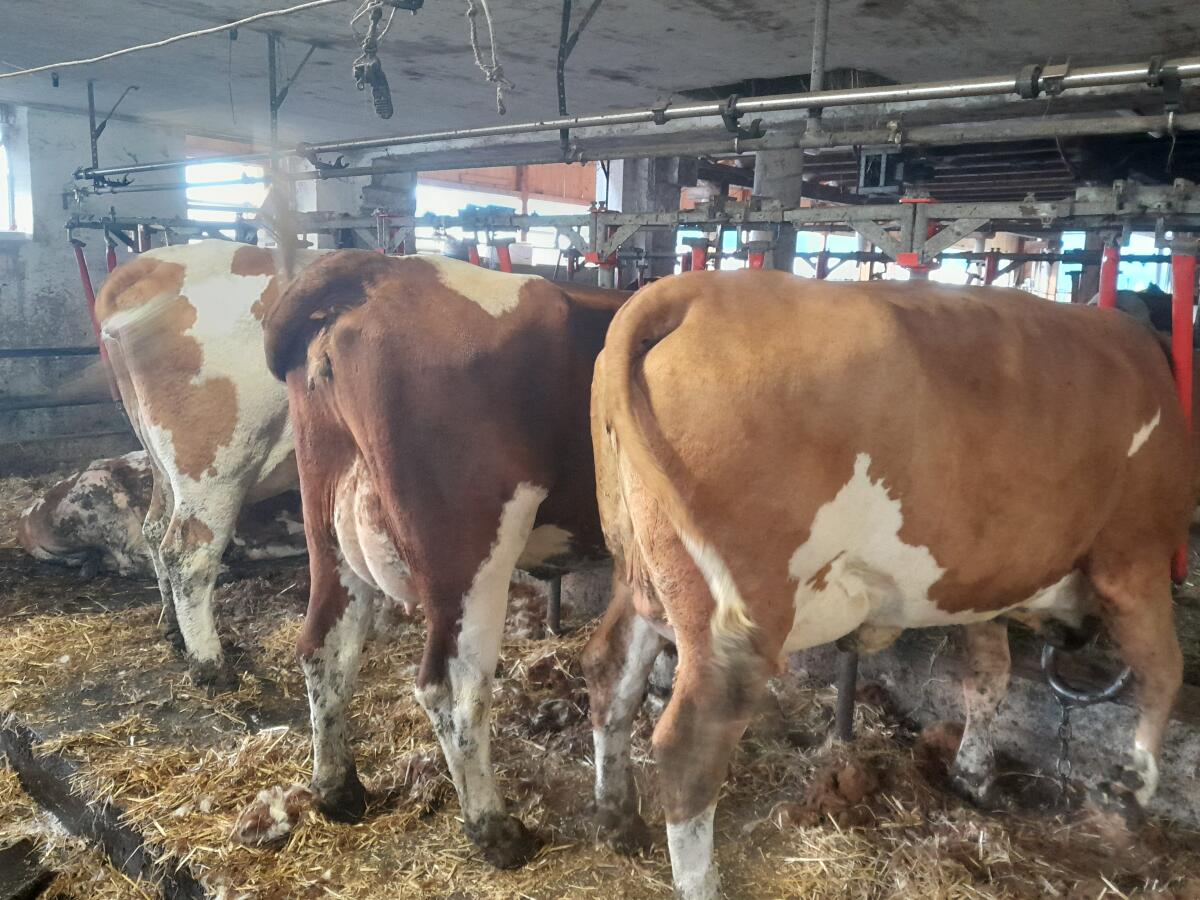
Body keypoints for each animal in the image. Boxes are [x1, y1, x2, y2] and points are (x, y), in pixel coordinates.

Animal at [96, 240, 324, 685]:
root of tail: (155, 263)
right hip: (215, 463)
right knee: (188, 553)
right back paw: (209, 665)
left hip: (161, 458)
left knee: (154, 530)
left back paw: (174, 631)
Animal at [261, 250, 624, 867]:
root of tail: (380, 273)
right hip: (471, 548)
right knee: (452, 688)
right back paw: (496, 830)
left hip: (328, 524)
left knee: (323, 648)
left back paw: (339, 790)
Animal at [583, 270, 1191, 900]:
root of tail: (694, 291)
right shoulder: (1136, 553)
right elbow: (1161, 670)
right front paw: (1131, 791)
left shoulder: (980, 585)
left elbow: (988, 677)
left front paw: (973, 775)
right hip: (736, 617)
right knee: (691, 742)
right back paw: (700, 881)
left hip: (640, 575)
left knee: (610, 671)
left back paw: (617, 820)